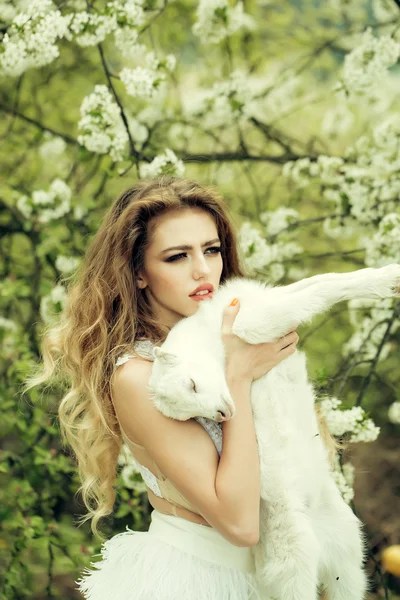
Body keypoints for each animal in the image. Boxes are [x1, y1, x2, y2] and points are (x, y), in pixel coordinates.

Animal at [148, 268, 400, 600]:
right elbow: (321, 293)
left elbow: (322, 281)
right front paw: (388, 282)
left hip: (349, 562)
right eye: (193, 417)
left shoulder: (267, 299)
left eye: (192, 385)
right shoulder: (264, 319)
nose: (223, 415)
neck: (210, 333)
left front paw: (385, 277)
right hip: (296, 566)